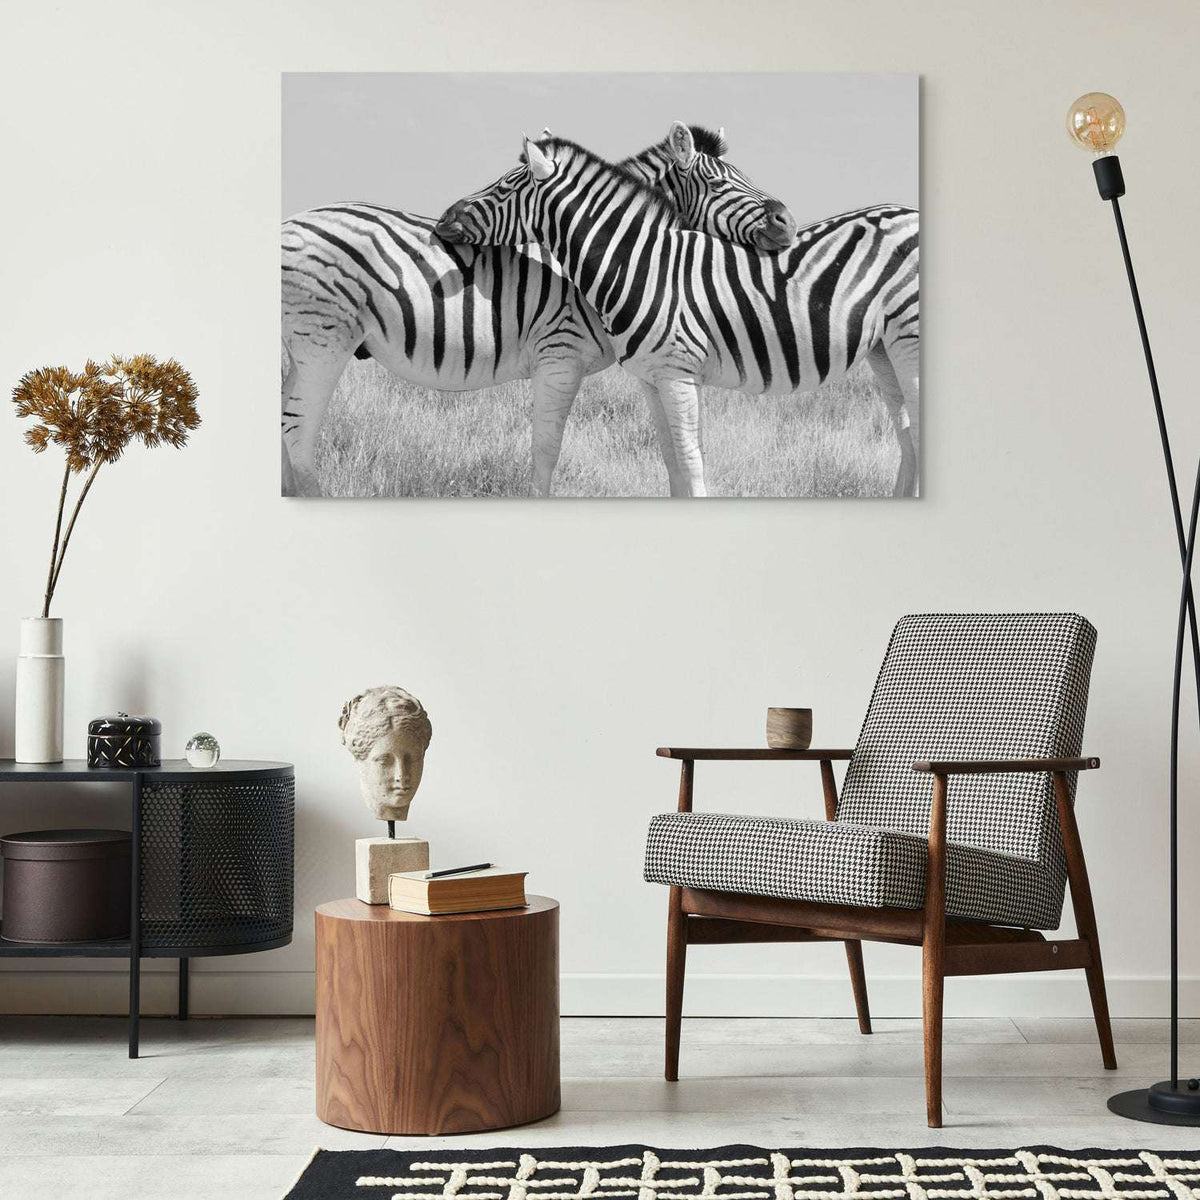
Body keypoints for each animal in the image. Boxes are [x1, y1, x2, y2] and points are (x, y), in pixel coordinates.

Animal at [281, 123, 795, 497]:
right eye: (719, 181)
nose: (787, 222)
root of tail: (291, 221)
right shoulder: (559, 354)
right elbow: (546, 451)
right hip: (323, 339)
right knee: (298, 432)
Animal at [434, 134, 920, 498]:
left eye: (503, 187)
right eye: (722, 182)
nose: (443, 219)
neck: (646, 264)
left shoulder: (678, 373)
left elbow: (691, 462)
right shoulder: (653, 378)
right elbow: (672, 462)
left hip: (910, 341)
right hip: (884, 351)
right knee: (909, 437)